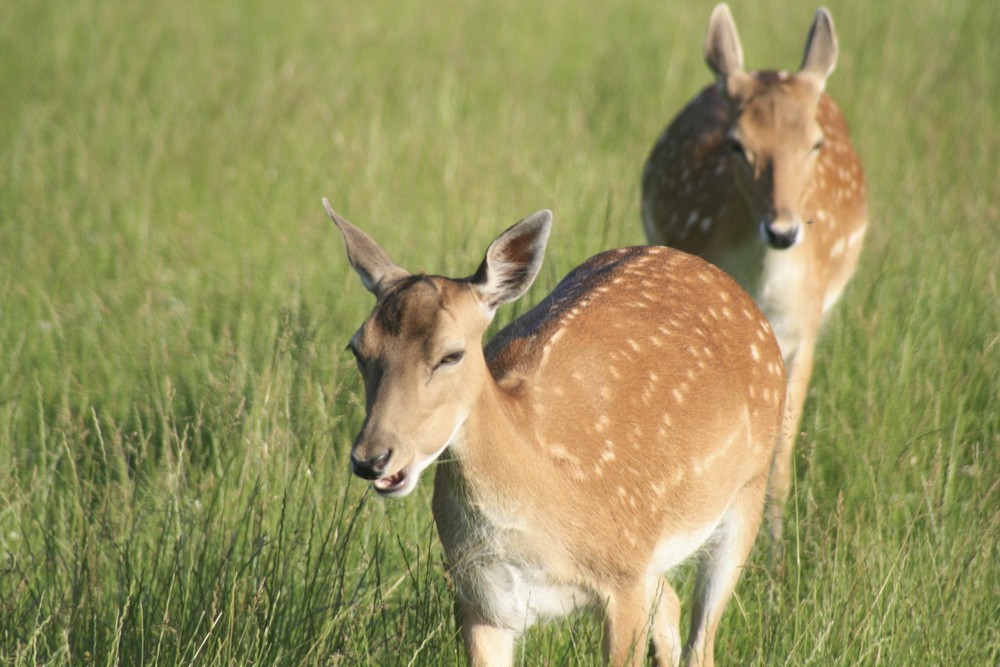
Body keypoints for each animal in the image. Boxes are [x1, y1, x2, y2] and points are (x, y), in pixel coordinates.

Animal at [328, 200, 788, 667]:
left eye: (451, 354)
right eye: (357, 348)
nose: (372, 458)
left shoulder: (624, 578)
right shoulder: (481, 594)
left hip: (747, 490)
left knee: (702, 642)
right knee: (672, 606)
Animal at [640, 3, 868, 552]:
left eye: (815, 144)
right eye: (737, 145)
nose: (783, 230)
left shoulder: (805, 327)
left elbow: (781, 457)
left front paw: (780, 554)